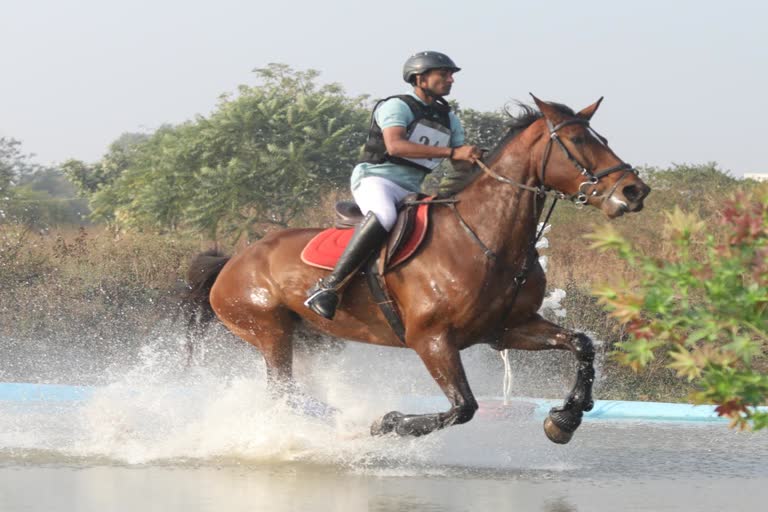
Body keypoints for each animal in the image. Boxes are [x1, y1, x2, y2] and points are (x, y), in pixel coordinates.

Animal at [183, 95, 652, 444]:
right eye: (577, 140)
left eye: (602, 136)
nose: (635, 191)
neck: (483, 238)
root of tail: (232, 260)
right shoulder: (432, 340)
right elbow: (463, 408)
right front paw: (388, 422)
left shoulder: (507, 329)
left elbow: (581, 345)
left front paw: (564, 420)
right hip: (268, 328)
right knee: (283, 391)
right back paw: (351, 421)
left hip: (314, 339)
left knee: (293, 390)